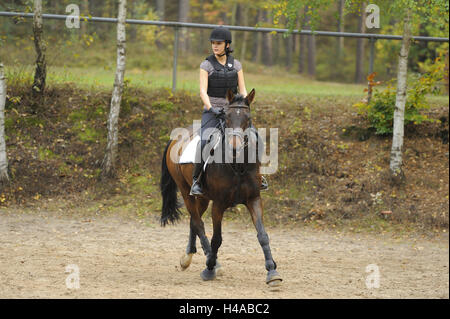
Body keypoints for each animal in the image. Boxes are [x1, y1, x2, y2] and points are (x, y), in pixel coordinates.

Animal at [160, 88, 284, 288]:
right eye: (226, 117)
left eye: (248, 118)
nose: (235, 148)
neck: (238, 165)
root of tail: (176, 138)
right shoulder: (219, 204)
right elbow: (217, 238)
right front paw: (210, 268)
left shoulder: (254, 199)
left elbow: (263, 235)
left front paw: (272, 271)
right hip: (186, 191)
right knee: (198, 223)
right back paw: (210, 261)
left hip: (203, 197)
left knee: (194, 221)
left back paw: (188, 256)